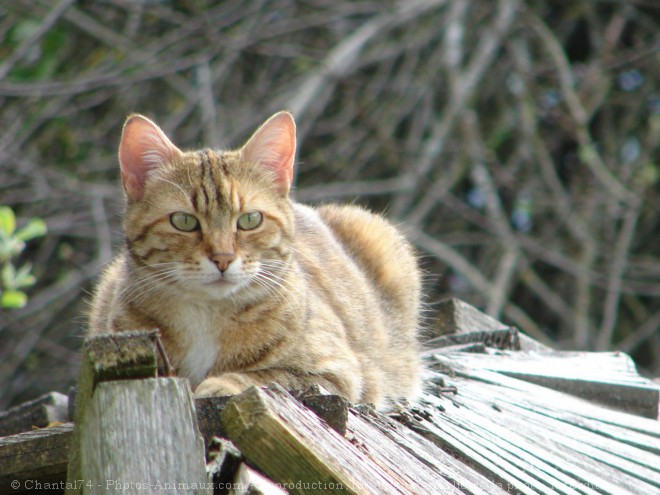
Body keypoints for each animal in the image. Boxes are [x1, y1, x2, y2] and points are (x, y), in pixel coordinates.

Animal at [89, 112, 422, 410]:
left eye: (250, 220)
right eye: (184, 221)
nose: (223, 258)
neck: (207, 315)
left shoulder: (336, 373)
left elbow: (267, 376)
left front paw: (221, 382)